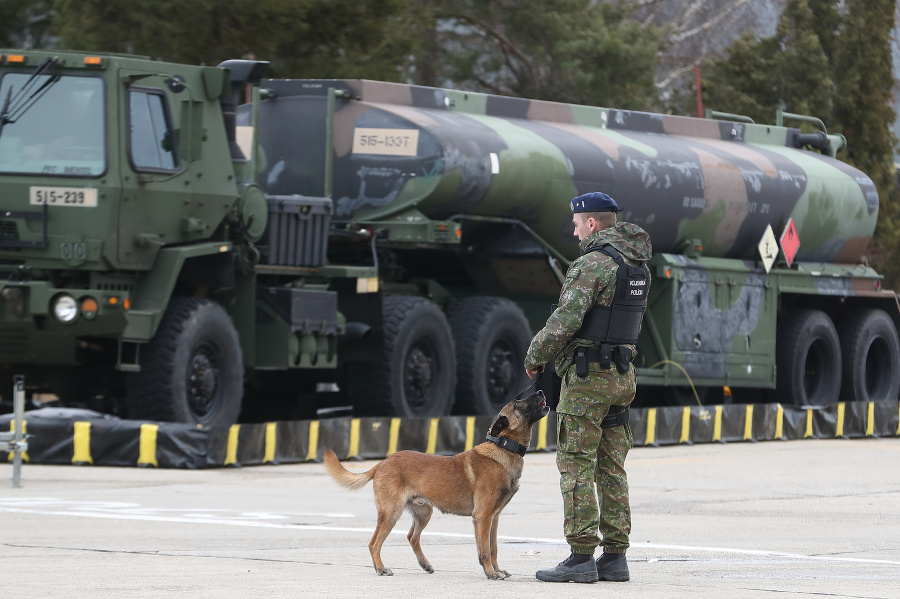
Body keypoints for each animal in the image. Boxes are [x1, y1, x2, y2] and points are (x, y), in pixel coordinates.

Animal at [324, 392, 548, 580]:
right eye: (518, 403)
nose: (540, 392)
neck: (503, 447)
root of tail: (383, 462)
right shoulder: (483, 517)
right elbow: (484, 550)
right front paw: (491, 573)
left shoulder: (494, 518)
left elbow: (493, 548)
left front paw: (497, 570)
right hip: (391, 513)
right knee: (374, 543)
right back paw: (381, 568)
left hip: (424, 512)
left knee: (412, 537)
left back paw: (425, 564)